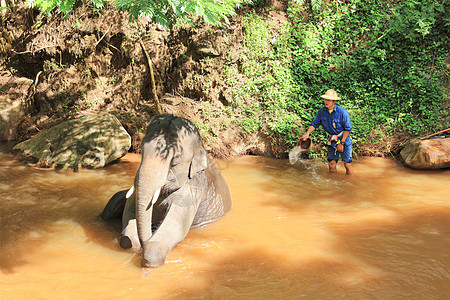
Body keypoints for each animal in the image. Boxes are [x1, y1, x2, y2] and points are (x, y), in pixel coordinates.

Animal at [101, 114, 232, 268]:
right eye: (142, 149)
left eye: (176, 158)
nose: (146, 240)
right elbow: (131, 206)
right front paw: (134, 242)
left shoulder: (194, 188)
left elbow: (176, 226)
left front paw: (151, 259)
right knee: (114, 199)